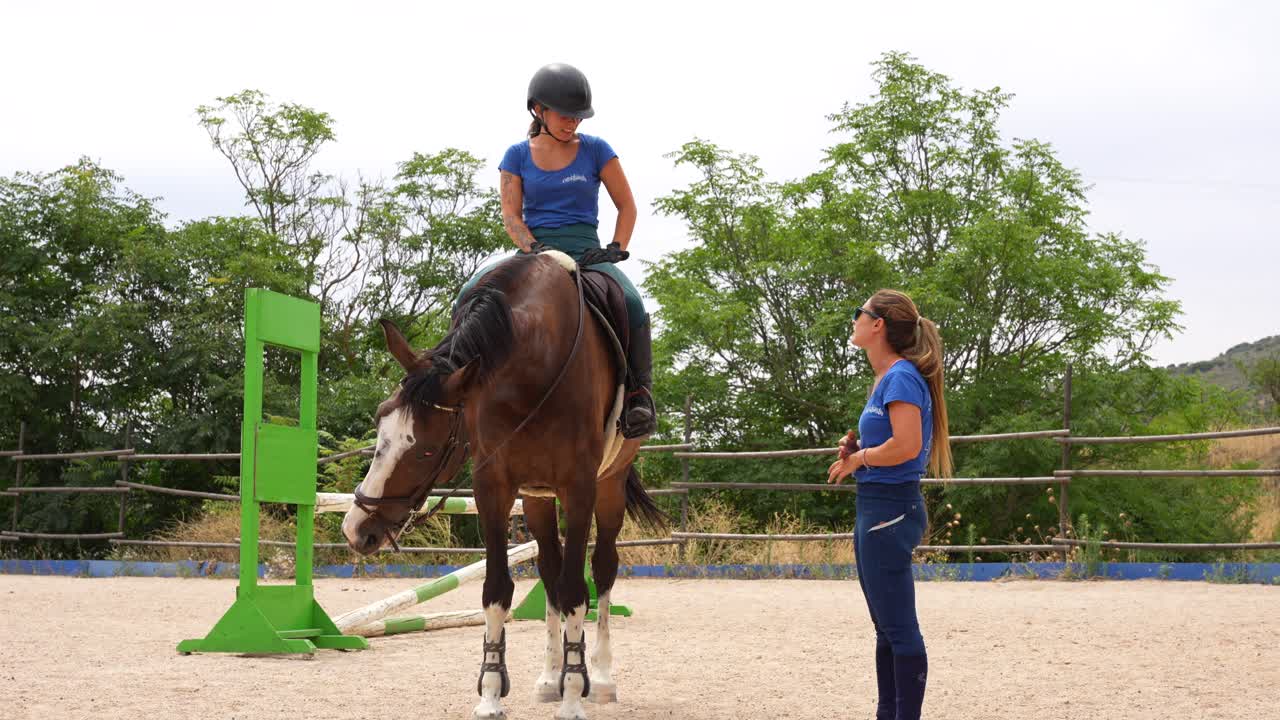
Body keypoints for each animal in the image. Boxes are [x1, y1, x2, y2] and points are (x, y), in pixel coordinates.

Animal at [341, 249, 666, 720]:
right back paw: (551, 677)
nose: (357, 529)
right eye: (380, 423)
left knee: (602, 571)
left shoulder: (579, 487)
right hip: (536, 499)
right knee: (550, 571)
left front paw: (573, 696)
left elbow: (576, 591)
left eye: (426, 450)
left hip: (609, 485)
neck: (531, 367)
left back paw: (600, 678)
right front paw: (493, 692)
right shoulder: (493, 487)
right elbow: (498, 590)